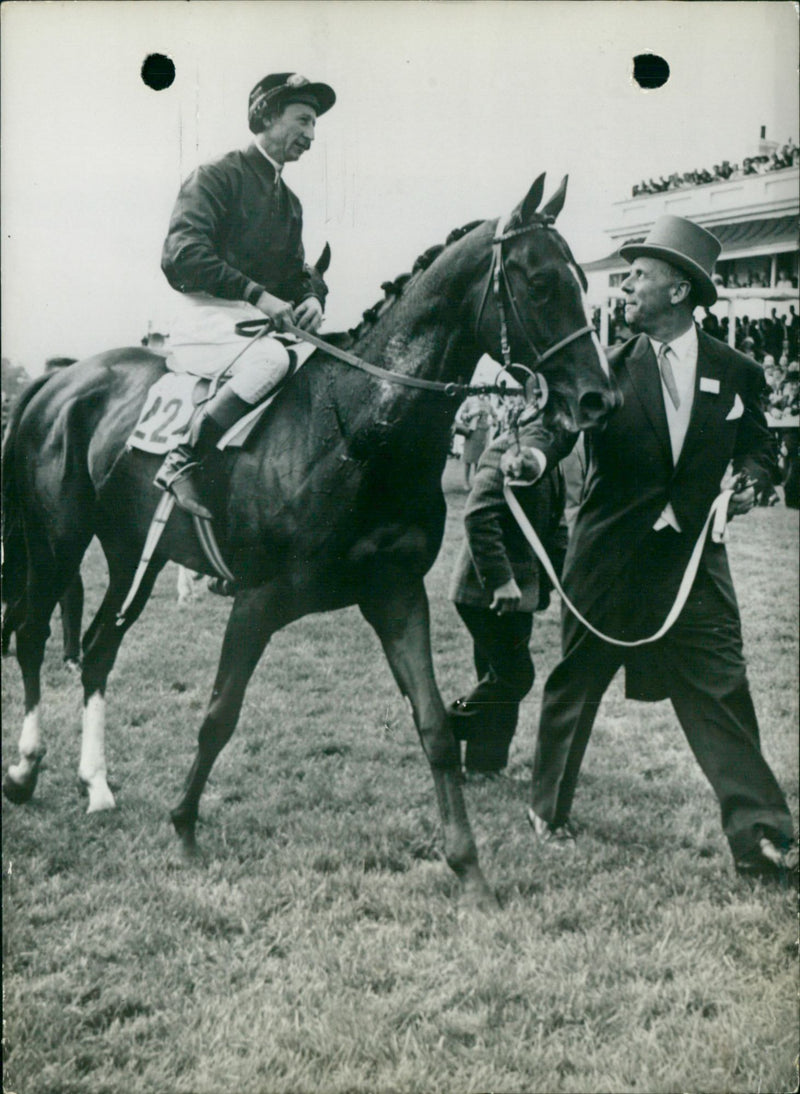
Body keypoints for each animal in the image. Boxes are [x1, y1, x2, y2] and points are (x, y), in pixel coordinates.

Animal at [1, 175, 621, 910]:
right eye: (539, 282)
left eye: (583, 281)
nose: (598, 400)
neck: (355, 430)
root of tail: (59, 378)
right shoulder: (259, 599)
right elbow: (219, 714)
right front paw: (184, 827)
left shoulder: (396, 593)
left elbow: (436, 727)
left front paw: (468, 868)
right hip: (57, 542)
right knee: (33, 637)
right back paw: (25, 769)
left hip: (131, 556)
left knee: (97, 650)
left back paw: (96, 783)